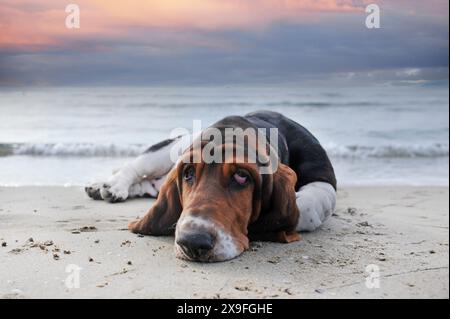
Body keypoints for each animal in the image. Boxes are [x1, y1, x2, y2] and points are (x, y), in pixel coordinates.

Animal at [86, 111, 336, 262]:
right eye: (188, 173)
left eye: (242, 176)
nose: (192, 241)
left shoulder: (324, 179)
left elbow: (305, 208)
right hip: (172, 147)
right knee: (134, 168)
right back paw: (111, 186)